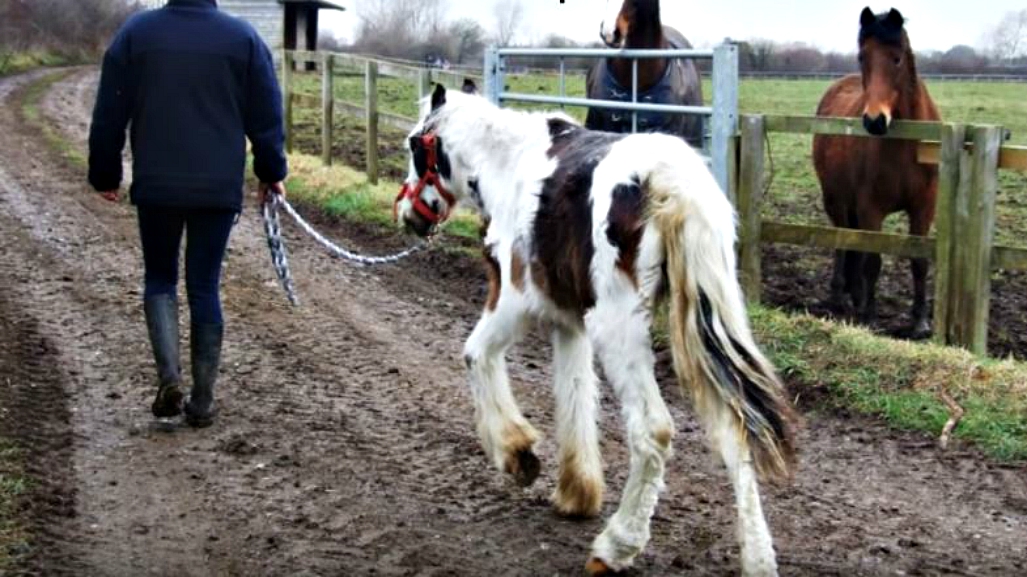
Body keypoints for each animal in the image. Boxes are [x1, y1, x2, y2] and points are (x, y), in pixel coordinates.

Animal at [813, 6, 940, 336]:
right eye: (862, 57)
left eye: (896, 58)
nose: (874, 120)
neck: (906, 143)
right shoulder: (871, 208)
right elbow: (872, 261)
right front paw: (869, 317)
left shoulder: (923, 208)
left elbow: (919, 262)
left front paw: (920, 322)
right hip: (836, 200)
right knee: (843, 242)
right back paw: (841, 296)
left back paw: (854, 294)